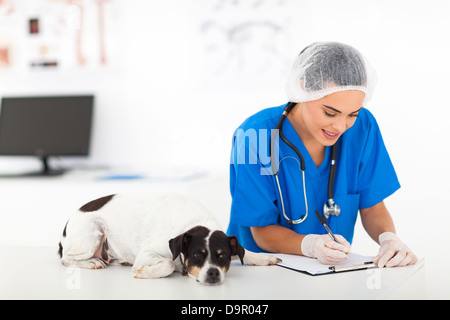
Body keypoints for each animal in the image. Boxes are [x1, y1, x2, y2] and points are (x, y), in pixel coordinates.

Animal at [58, 192, 280, 284]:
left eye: (222, 256)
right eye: (197, 255)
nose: (213, 274)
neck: (193, 222)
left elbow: (244, 251)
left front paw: (262, 257)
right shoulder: (148, 253)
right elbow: (169, 263)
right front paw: (146, 272)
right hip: (92, 234)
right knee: (67, 259)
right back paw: (92, 262)